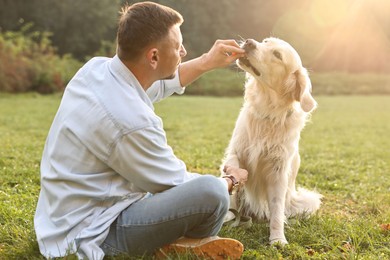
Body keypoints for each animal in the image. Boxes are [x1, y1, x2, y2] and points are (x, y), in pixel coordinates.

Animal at [222, 37, 322, 245]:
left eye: (277, 55)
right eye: (266, 41)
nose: (250, 42)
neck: (267, 111)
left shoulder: (277, 171)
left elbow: (276, 210)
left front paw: (277, 239)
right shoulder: (236, 150)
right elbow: (233, 166)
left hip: (304, 200)